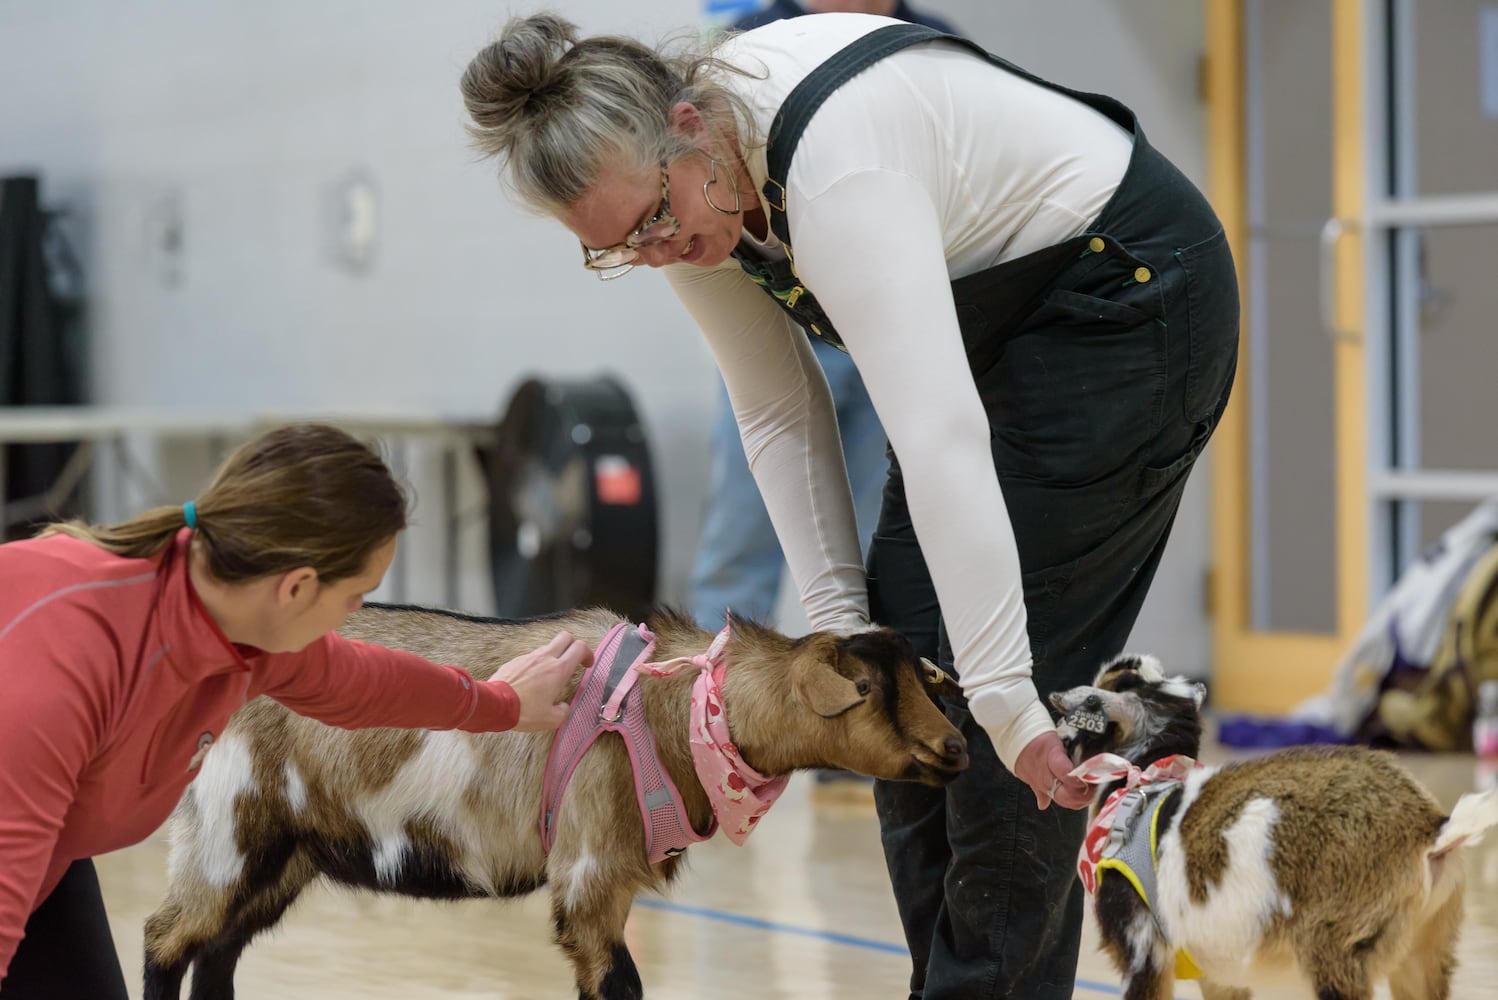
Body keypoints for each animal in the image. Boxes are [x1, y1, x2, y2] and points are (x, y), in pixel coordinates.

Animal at [143, 601, 970, 999]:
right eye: (865, 688)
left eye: (925, 678)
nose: (957, 749)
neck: (679, 706)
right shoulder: (589, 870)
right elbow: (619, 983)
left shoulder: (613, 878)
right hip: (228, 830)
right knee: (165, 940)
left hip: (284, 853)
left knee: (214, 956)